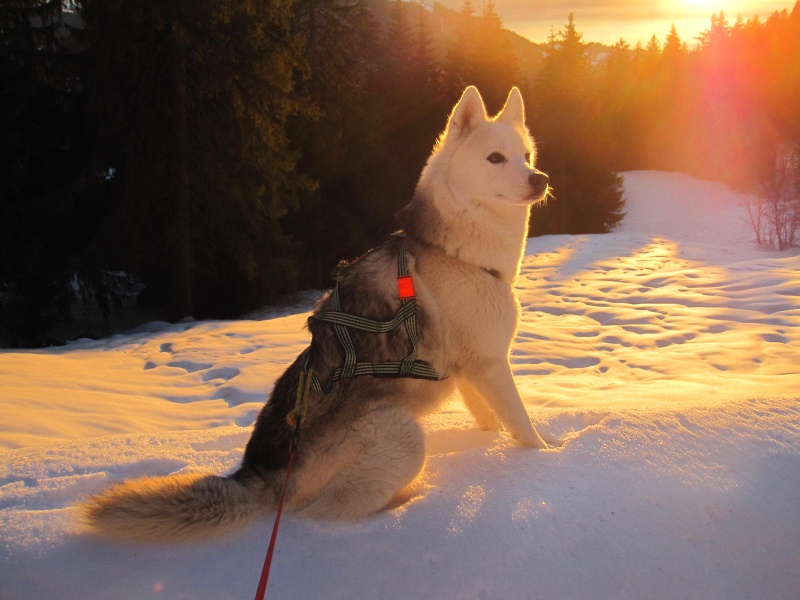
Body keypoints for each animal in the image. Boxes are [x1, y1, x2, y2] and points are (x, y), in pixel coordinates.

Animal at [84, 86, 552, 540]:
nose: (540, 178)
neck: (456, 252)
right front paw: (550, 458)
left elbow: (493, 422)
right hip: (402, 436)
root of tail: (260, 476)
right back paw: (403, 508)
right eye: (495, 158)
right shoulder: (490, 366)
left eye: (527, 156)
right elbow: (523, 427)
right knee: (322, 515)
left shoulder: (471, 373)